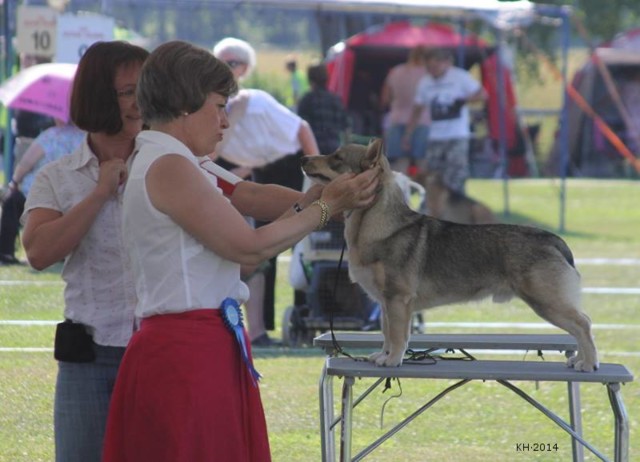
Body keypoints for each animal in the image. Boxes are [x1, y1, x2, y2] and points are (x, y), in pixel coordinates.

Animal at [302, 138, 596, 372]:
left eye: (336, 158)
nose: (303, 158)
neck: (373, 223)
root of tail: (554, 241)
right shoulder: (386, 303)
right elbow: (386, 333)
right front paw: (382, 356)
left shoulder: (398, 300)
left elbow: (397, 336)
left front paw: (393, 360)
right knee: (581, 325)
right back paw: (579, 360)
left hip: (546, 301)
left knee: (583, 324)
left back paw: (589, 364)